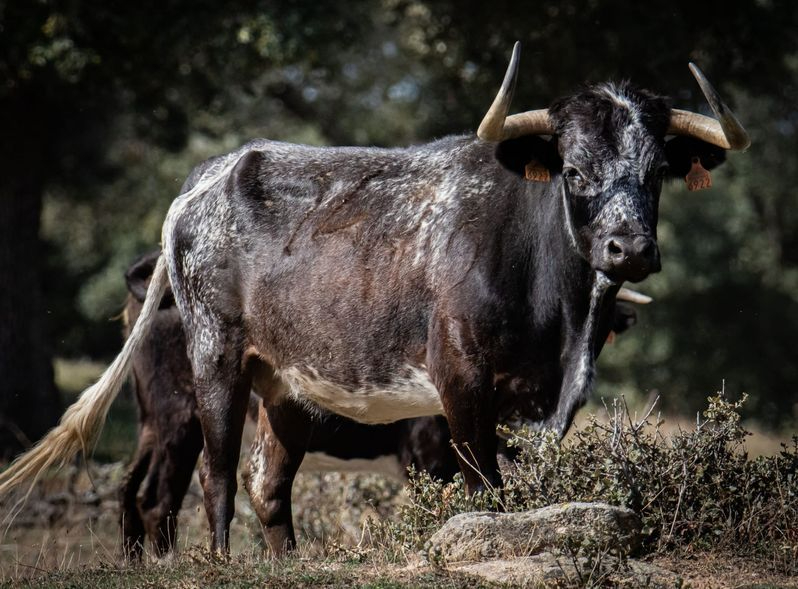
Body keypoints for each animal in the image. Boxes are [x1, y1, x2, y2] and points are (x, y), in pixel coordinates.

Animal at [119, 248, 642, 558]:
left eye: (603, 323)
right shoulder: (428, 453)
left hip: (152, 423)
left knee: (133, 488)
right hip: (183, 417)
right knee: (161, 497)